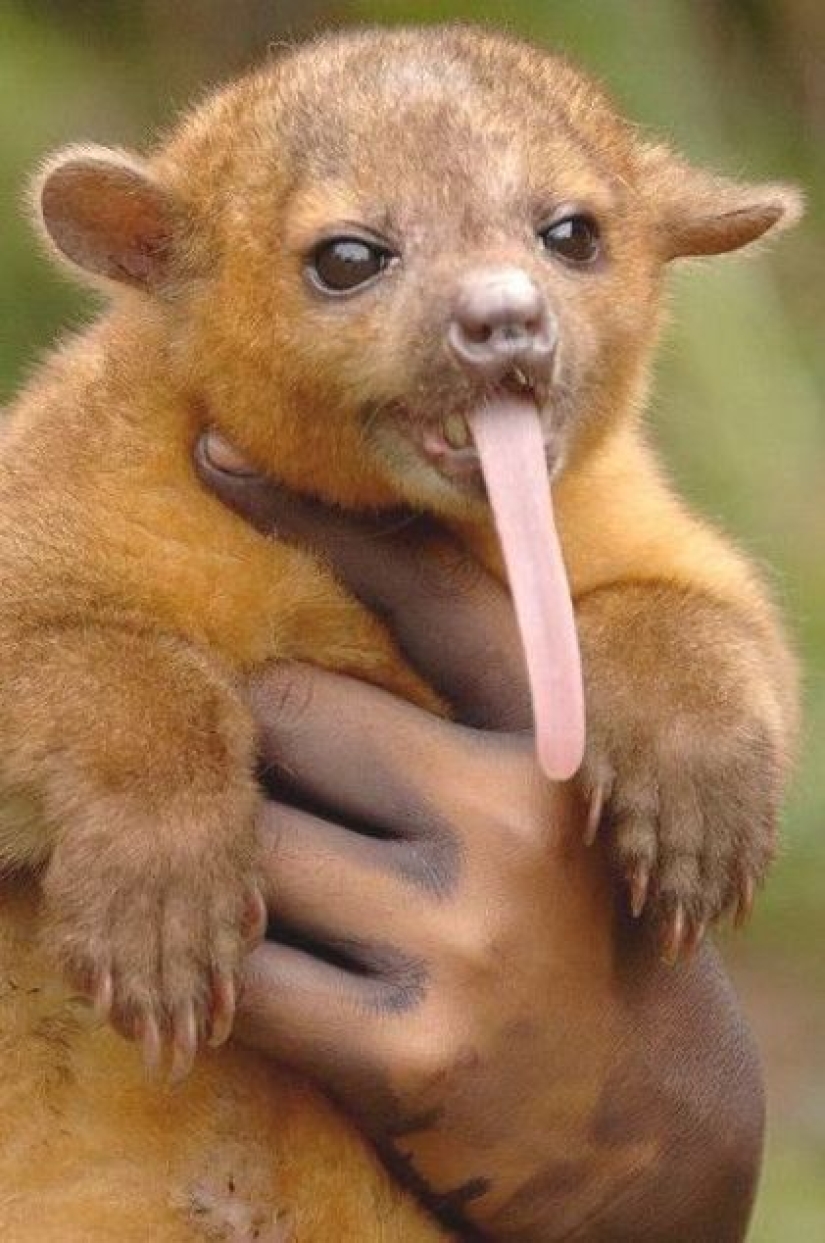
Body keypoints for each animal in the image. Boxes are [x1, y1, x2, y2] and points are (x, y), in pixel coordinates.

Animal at [0, 23, 800, 1242]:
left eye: (571, 235)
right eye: (347, 259)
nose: (507, 317)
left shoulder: (623, 512)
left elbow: (713, 615)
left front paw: (696, 800)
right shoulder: (53, 483)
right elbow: (122, 665)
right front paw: (162, 897)